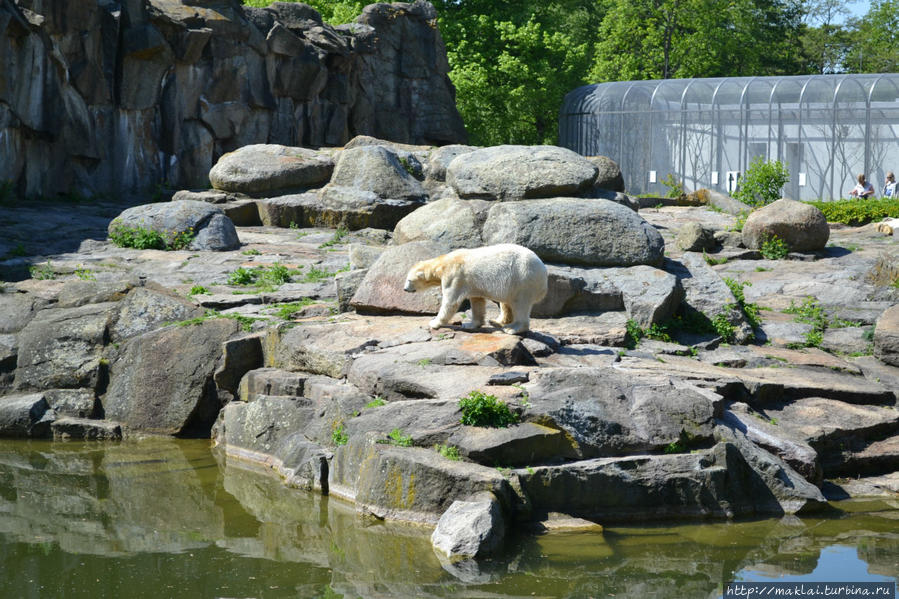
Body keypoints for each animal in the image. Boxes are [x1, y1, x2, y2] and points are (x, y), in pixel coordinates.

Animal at [402, 245, 548, 338]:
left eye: (409, 280)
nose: (405, 289)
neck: (442, 264)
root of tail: (543, 272)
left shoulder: (455, 275)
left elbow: (450, 302)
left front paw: (434, 322)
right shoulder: (472, 283)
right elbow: (477, 301)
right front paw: (471, 324)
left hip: (522, 279)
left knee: (520, 304)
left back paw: (512, 328)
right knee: (507, 303)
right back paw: (497, 321)